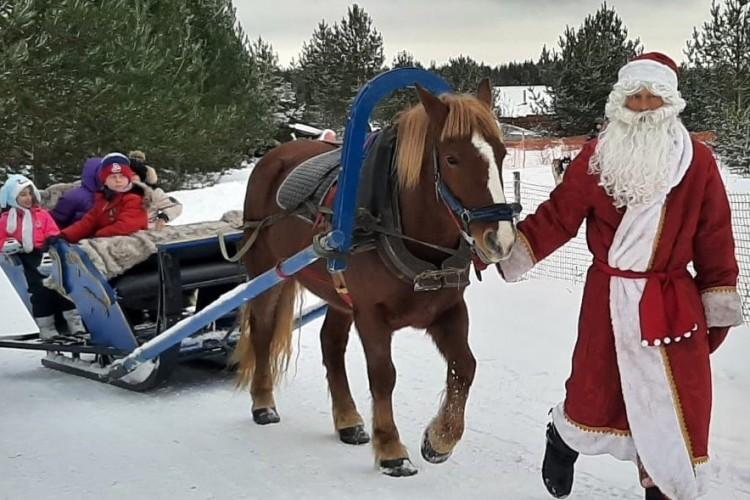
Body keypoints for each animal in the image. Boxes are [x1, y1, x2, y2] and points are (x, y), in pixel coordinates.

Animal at [235, 79, 516, 476]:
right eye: (451, 159)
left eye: (502, 154)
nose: (500, 239)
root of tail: (273, 156)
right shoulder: (370, 314)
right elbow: (383, 375)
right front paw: (391, 448)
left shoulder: (448, 310)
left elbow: (465, 366)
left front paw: (440, 439)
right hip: (267, 272)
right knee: (262, 330)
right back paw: (263, 403)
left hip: (338, 294)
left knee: (331, 344)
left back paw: (348, 420)